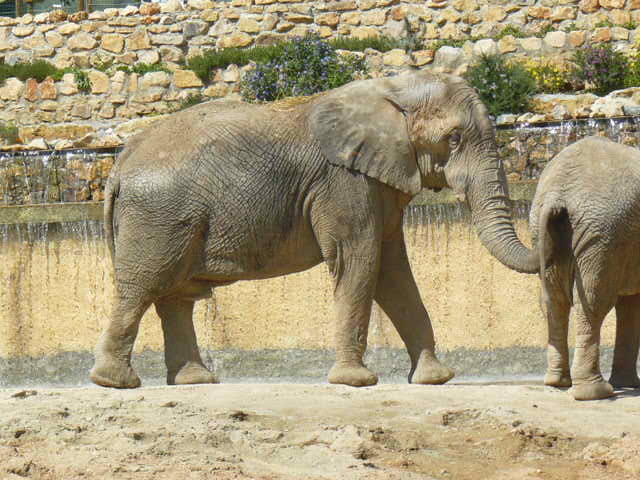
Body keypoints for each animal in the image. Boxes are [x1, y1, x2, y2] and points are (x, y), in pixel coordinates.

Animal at [89, 71, 538, 389]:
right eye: (454, 138)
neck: (393, 89)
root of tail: (120, 163)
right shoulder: (344, 182)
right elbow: (360, 260)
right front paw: (356, 382)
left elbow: (393, 271)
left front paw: (434, 379)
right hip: (158, 216)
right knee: (143, 287)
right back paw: (115, 382)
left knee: (175, 296)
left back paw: (194, 382)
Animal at [530, 136, 640, 401]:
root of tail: (558, 192)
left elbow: (630, 304)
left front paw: (629, 385)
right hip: (602, 234)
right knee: (592, 302)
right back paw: (595, 393)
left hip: (547, 232)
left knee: (554, 301)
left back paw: (557, 382)